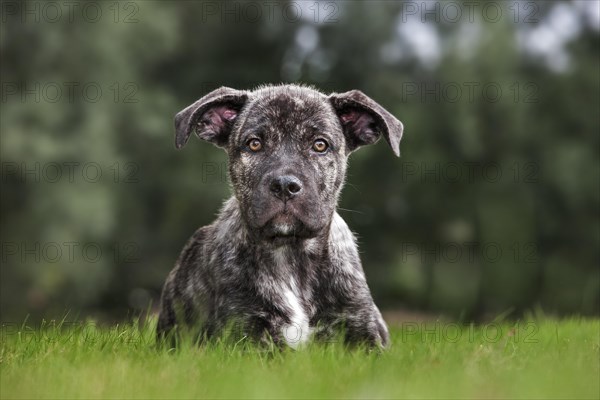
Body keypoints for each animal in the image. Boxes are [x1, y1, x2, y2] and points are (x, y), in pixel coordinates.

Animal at [157, 85, 406, 350]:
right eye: (254, 144)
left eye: (320, 145)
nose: (285, 185)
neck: (290, 254)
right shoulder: (243, 332)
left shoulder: (362, 333)